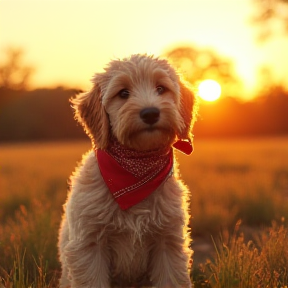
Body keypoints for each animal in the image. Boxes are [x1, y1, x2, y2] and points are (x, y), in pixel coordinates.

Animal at [58, 54, 198, 288]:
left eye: (161, 88)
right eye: (123, 93)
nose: (150, 113)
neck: (135, 173)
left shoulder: (168, 242)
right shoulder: (89, 245)